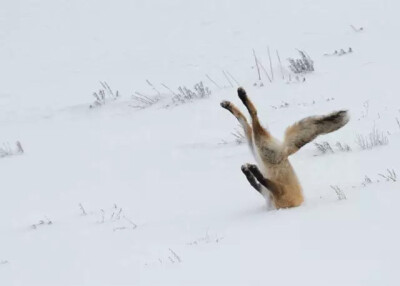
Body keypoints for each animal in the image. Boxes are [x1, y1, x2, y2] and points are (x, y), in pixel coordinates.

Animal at [220, 86, 348, 209]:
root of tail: (285, 152)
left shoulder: (278, 192)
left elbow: (260, 180)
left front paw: (252, 171)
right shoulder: (271, 192)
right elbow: (255, 182)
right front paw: (249, 171)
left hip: (260, 147)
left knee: (253, 116)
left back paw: (240, 97)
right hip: (256, 147)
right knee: (245, 120)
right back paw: (230, 103)